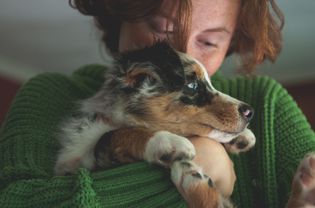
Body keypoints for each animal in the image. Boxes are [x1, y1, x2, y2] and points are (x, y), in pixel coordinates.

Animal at [54, 41, 258, 207]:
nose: (250, 112)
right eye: (192, 85)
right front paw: (166, 142)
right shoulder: (76, 162)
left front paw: (241, 137)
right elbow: (114, 135)